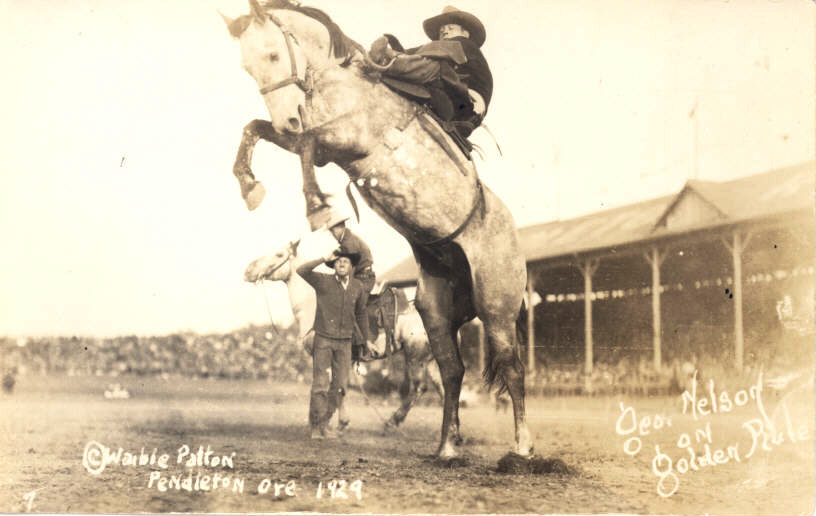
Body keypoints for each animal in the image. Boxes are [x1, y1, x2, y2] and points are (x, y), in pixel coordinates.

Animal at [244, 238, 440, 432]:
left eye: (279, 254)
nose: (248, 271)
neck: (313, 304)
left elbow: (335, 385)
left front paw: (328, 421)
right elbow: (341, 385)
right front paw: (336, 421)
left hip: (416, 358)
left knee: (419, 388)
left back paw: (392, 422)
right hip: (431, 361)